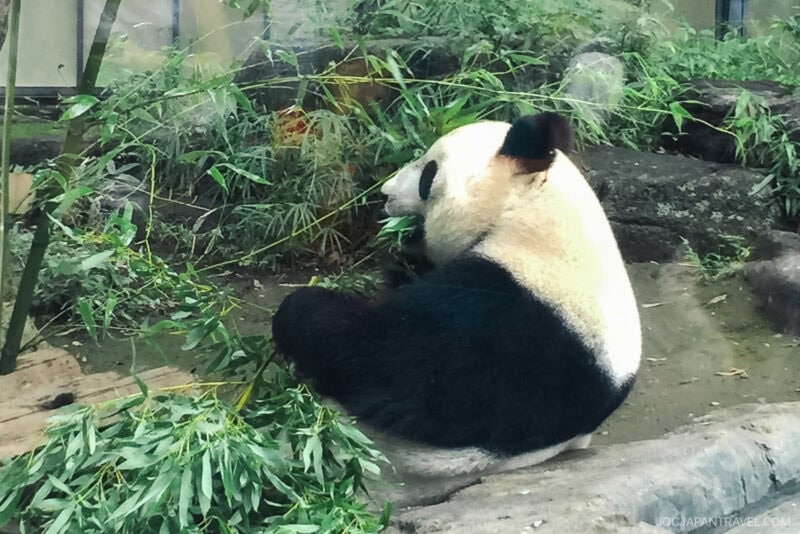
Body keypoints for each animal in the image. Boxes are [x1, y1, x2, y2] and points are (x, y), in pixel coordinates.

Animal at [272, 111, 641, 491]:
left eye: (429, 172)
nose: (385, 194)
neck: (529, 216)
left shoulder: (516, 326)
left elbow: (387, 362)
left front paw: (301, 308)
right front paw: (403, 264)